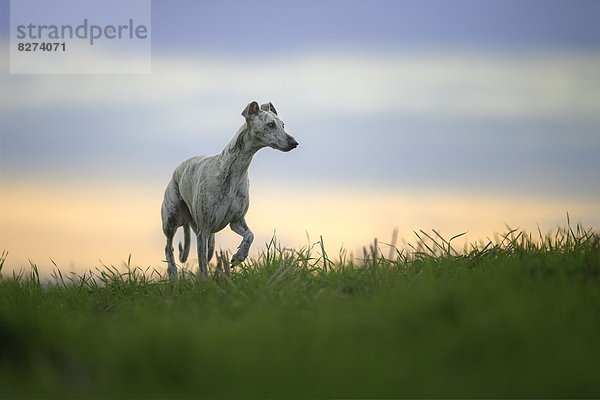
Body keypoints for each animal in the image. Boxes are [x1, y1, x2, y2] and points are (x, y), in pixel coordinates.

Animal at [161, 101, 298, 280]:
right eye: (270, 124)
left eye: (283, 125)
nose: (294, 142)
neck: (233, 171)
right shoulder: (204, 230)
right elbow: (203, 265)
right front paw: (205, 283)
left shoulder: (236, 220)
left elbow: (250, 235)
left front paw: (240, 256)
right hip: (172, 219)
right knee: (168, 247)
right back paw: (173, 273)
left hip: (209, 239)